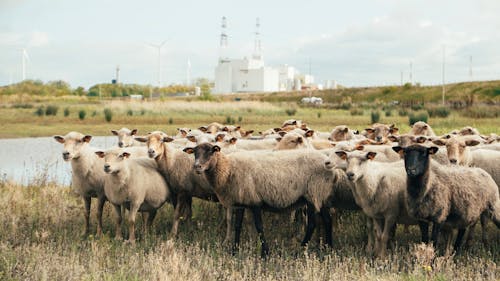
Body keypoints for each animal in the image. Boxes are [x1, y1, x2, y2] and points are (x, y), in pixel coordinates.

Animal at [184, 143, 340, 258]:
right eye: (194, 152)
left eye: (210, 151)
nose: (197, 166)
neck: (228, 169)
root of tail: (333, 170)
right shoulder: (241, 202)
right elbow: (237, 226)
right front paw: (235, 250)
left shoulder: (255, 201)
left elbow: (259, 227)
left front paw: (265, 253)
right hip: (321, 195)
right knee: (327, 220)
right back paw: (329, 248)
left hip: (313, 194)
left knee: (312, 224)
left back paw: (300, 250)